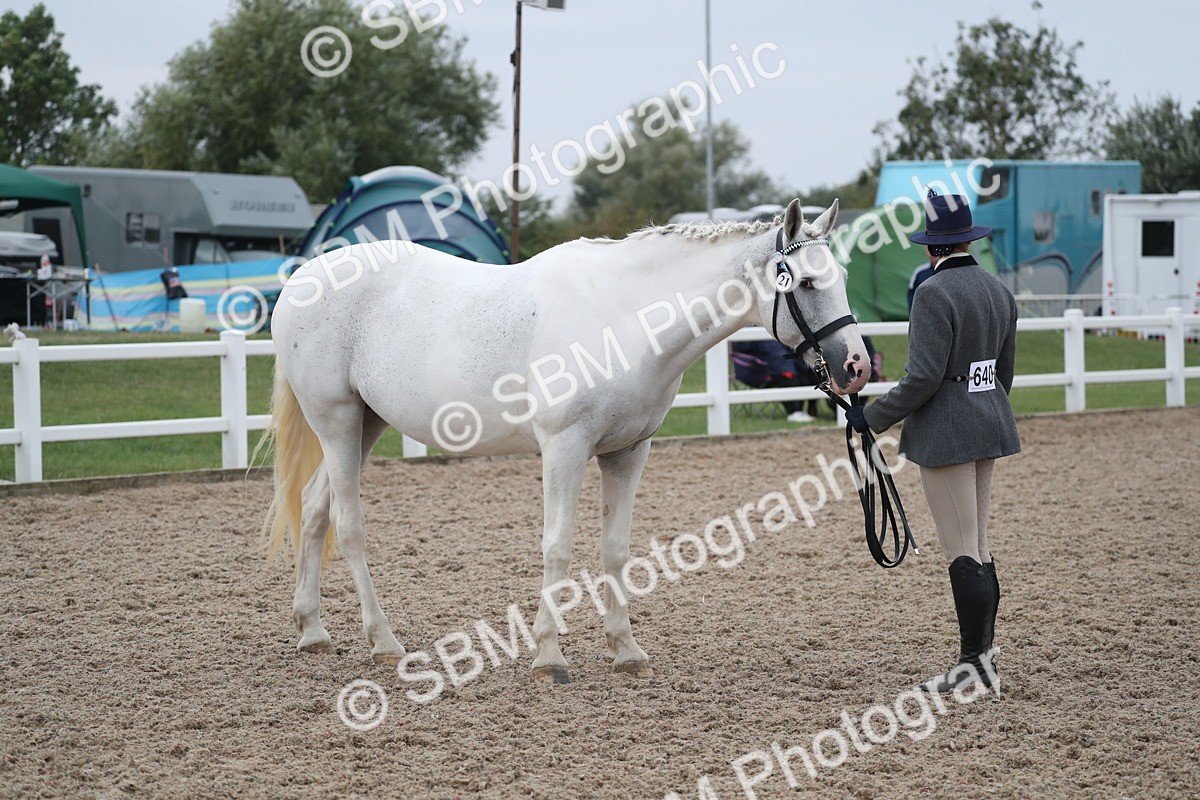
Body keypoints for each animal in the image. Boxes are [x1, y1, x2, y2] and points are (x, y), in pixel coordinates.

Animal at [262, 198, 869, 683]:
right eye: (806, 283)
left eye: (843, 276)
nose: (857, 366)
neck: (625, 316)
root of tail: (302, 280)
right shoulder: (564, 448)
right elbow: (557, 546)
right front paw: (549, 657)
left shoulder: (628, 452)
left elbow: (615, 548)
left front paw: (626, 650)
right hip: (337, 421)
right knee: (347, 524)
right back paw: (383, 642)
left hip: (366, 424)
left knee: (314, 509)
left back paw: (312, 630)